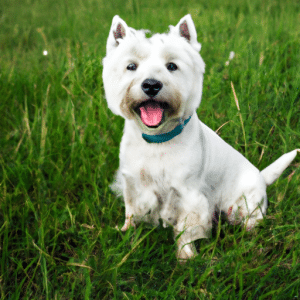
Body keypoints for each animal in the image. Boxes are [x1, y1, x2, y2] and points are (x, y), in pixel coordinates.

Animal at [102, 14, 298, 258]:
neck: (157, 141)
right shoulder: (134, 184)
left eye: (172, 66)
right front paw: (127, 234)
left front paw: (186, 257)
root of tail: (262, 177)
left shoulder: (188, 194)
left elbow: (186, 229)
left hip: (246, 204)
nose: (151, 85)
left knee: (251, 221)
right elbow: (132, 212)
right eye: (131, 66)